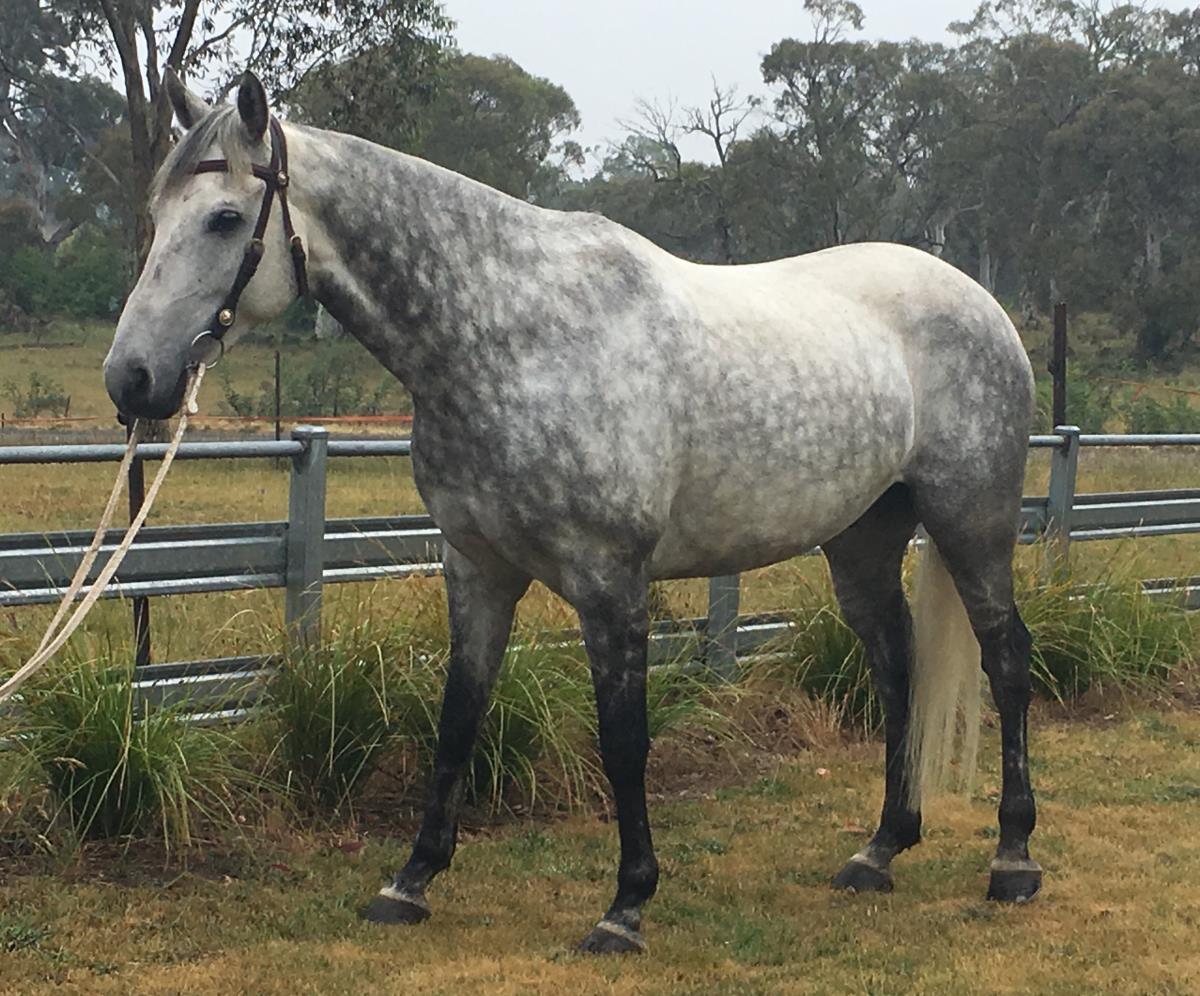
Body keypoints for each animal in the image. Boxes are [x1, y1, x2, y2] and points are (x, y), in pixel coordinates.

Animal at [104, 70, 1040, 954]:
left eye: (226, 218)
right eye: (154, 212)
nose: (132, 379)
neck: (508, 335)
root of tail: (984, 304)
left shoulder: (610, 582)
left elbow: (624, 741)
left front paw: (625, 908)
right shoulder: (477, 570)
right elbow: (457, 721)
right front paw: (410, 882)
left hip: (973, 522)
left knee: (1006, 658)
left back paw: (1013, 860)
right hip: (862, 540)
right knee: (896, 666)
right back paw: (880, 849)